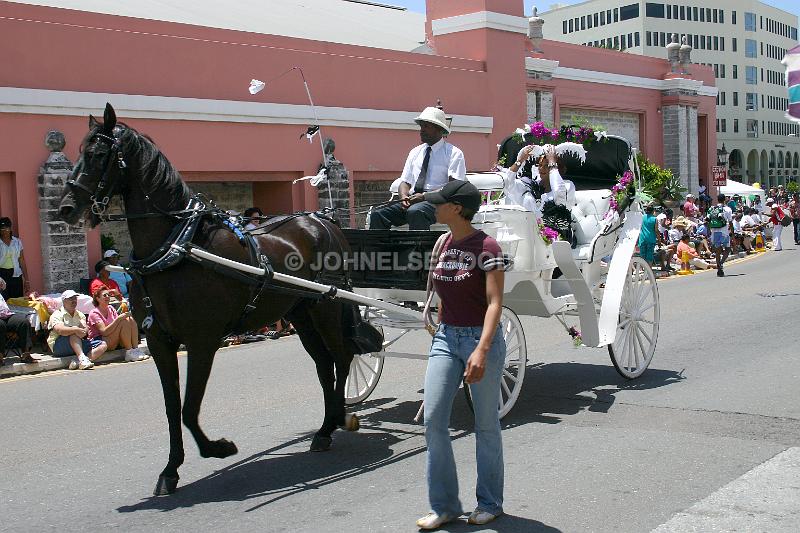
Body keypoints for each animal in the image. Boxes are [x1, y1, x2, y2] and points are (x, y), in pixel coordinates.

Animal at [61, 103, 360, 494]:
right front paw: (171, 469)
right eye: (79, 152)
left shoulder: (202, 340)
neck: (176, 246)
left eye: (98, 154)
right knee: (324, 364)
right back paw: (324, 429)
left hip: (327, 306)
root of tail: (323, 220)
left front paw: (218, 448)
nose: (66, 208)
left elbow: (189, 408)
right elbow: (172, 407)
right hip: (300, 312)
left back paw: (339, 417)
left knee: (341, 357)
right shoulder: (158, 340)